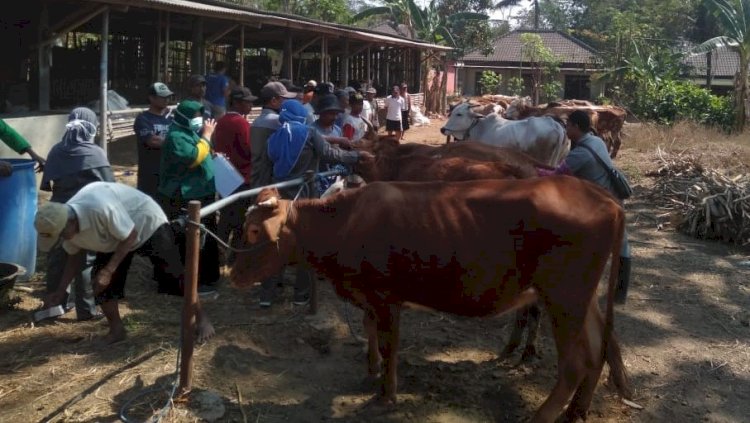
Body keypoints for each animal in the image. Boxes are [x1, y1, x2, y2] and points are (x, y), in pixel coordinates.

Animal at [232, 177, 632, 422]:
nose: (232, 274)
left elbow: (390, 343)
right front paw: (371, 371)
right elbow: (369, 330)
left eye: (253, 231)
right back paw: (576, 411)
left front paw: (386, 394)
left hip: (565, 295)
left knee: (576, 362)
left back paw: (541, 416)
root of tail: (603, 196)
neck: (344, 224)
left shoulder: (385, 296)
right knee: (596, 350)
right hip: (580, 297)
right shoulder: (370, 296)